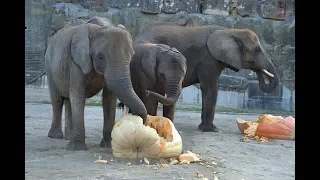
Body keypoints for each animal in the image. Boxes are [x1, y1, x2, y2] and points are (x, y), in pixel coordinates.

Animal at [44, 16, 148, 150]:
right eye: (100, 57)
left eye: (131, 57)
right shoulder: (76, 62)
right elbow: (77, 94)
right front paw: (78, 148)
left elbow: (109, 99)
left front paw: (107, 146)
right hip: (49, 65)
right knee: (57, 99)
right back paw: (56, 136)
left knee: (68, 100)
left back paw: (68, 136)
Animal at [134, 22, 278, 132]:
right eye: (256, 51)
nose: (260, 72)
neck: (230, 31)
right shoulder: (208, 59)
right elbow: (210, 88)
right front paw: (211, 130)